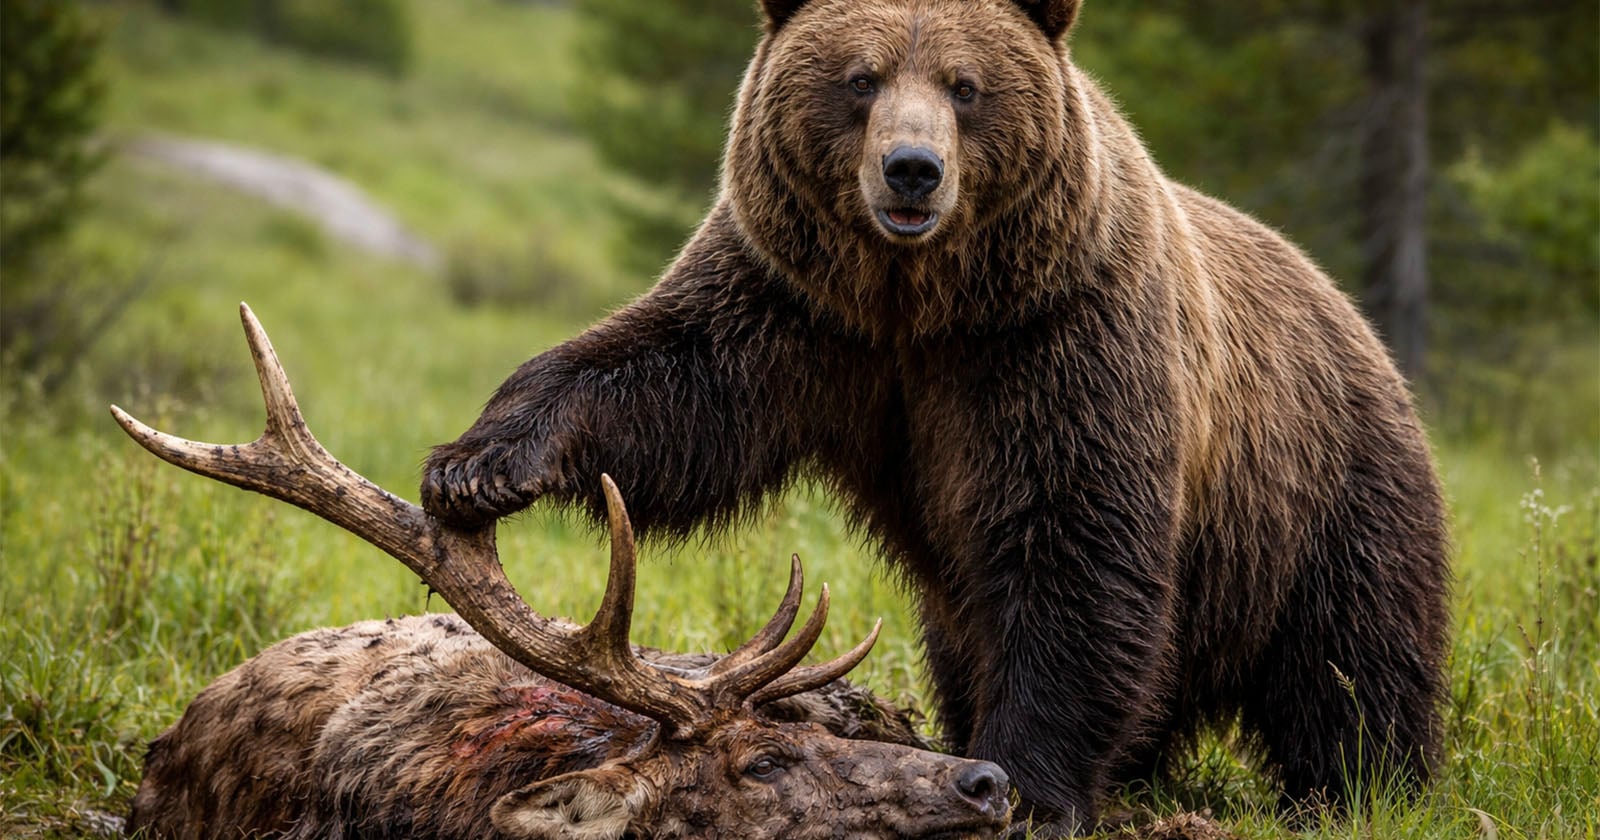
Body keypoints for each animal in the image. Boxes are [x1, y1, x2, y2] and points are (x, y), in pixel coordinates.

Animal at [422, 0, 1451, 833]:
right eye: (860, 77)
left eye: (966, 86)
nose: (910, 170)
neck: (919, 302)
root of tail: (1354, 317)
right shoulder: (792, 308)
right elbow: (664, 386)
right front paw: (476, 465)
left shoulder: (1057, 342)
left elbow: (1070, 547)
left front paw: (1030, 786)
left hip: (1322, 502)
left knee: (1352, 672)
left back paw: (1364, 791)